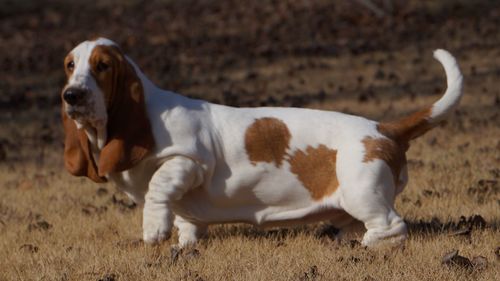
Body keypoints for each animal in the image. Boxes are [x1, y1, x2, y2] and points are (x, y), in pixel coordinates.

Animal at [60, 37, 462, 247]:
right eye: (69, 65)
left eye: (103, 66)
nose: (71, 96)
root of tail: (385, 128)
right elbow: (186, 220)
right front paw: (185, 245)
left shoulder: (190, 160)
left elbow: (160, 187)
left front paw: (153, 231)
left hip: (362, 192)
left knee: (392, 228)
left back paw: (366, 247)